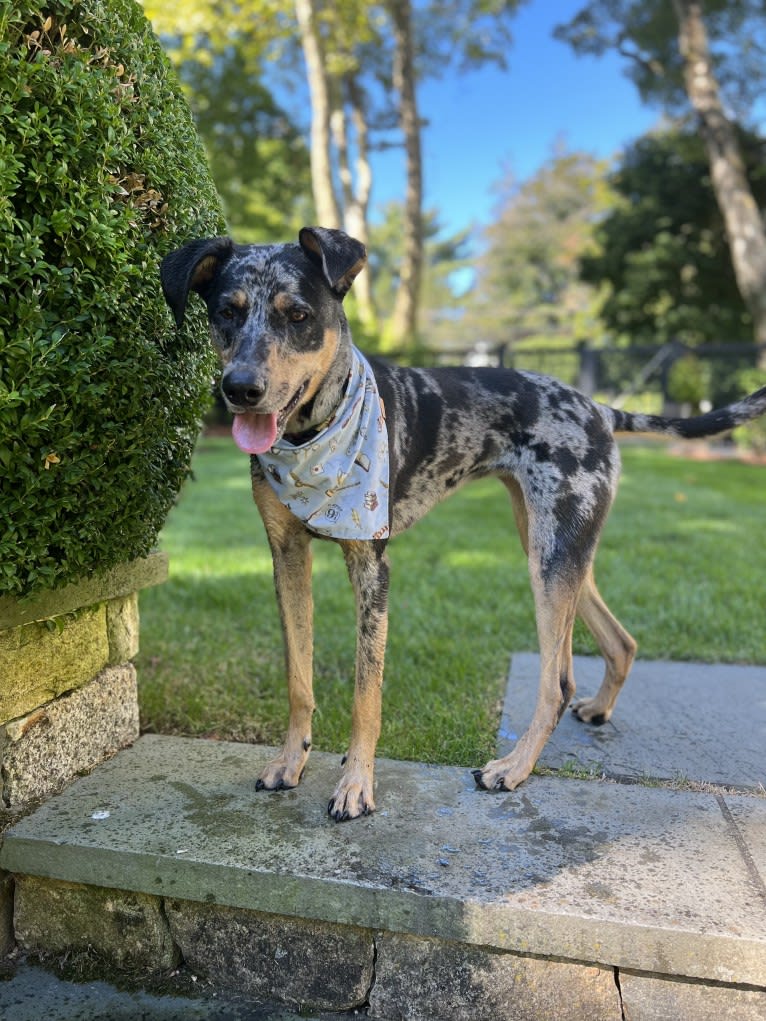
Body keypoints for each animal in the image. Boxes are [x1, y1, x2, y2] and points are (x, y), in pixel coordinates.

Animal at [160, 225, 766, 820]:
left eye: (299, 315)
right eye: (227, 312)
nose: (240, 389)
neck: (313, 435)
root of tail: (598, 407)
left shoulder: (372, 565)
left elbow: (365, 693)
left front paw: (356, 785)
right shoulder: (286, 555)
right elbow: (298, 678)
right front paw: (291, 761)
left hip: (551, 559)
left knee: (557, 682)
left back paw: (513, 768)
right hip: (554, 545)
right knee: (619, 642)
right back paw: (596, 710)